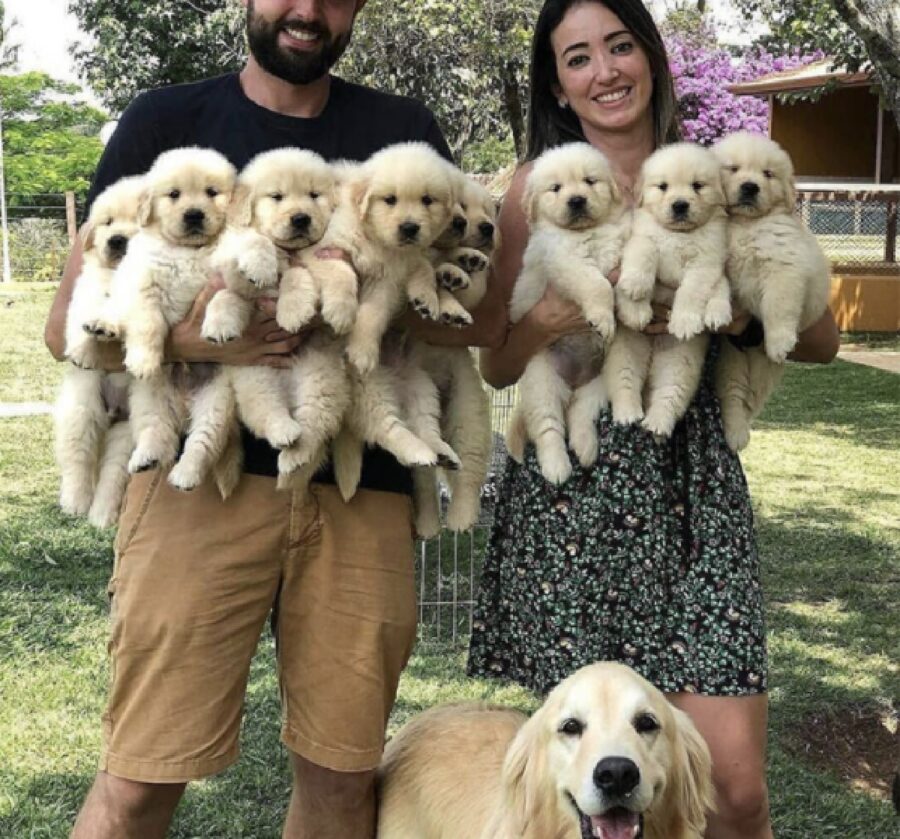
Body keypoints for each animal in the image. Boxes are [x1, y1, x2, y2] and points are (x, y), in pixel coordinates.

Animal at [54, 176, 143, 524]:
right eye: (108, 222)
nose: (117, 240)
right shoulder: (87, 288)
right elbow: (86, 311)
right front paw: (83, 350)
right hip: (82, 410)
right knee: (78, 461)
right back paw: (75, 502)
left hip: (127, 433)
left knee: (112, 474)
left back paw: (101, 514)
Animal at [506, 145, 624, 486]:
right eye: (556, 189)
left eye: (590, 181)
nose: (576, 201)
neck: (588, 232)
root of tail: (573, 381)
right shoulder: (565, 261)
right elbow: (597, 284)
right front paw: (603, 318)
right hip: (541, 377)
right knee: (548, 428)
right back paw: (557, 467)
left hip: (599, 381)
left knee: (580, 415)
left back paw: (585, 448)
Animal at [712, 130, 828, 450]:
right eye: (733, 169)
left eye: (767, 174)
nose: (750, 187)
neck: (745, 224)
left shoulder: (783, 269)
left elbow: (779, 306)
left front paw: (780, 341)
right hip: (730, 362)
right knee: (733, 396)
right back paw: (736, 432)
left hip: (762, 369)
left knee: (751, 399)